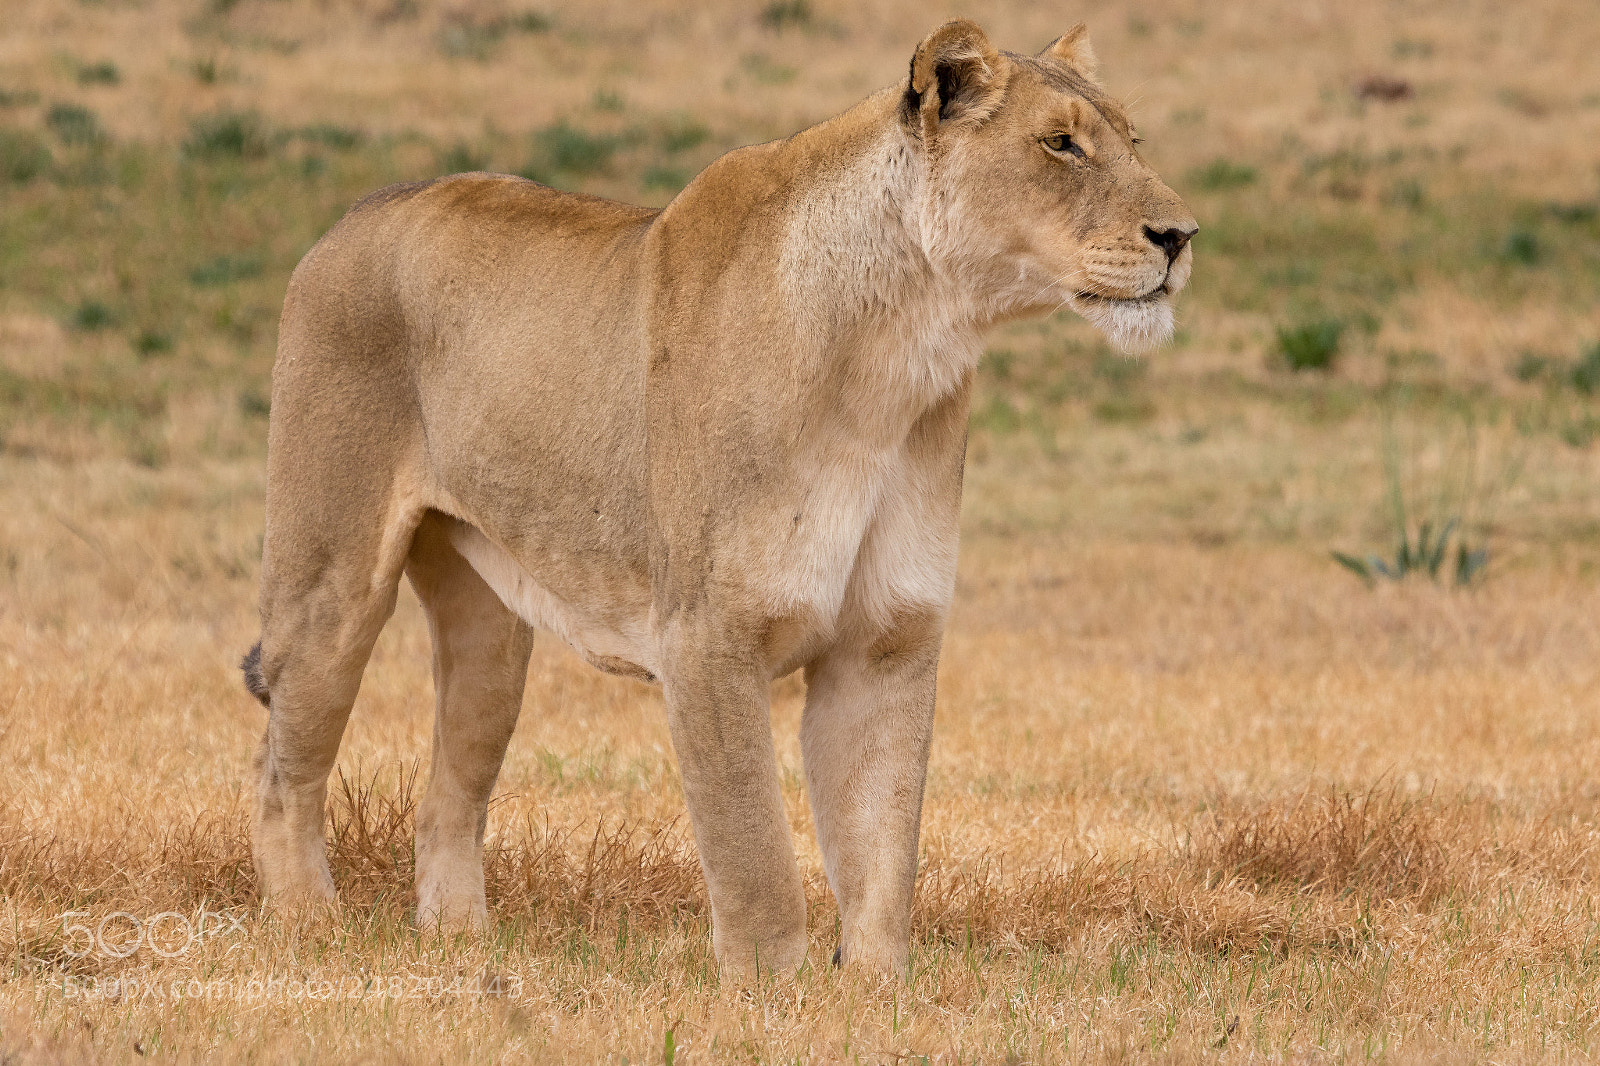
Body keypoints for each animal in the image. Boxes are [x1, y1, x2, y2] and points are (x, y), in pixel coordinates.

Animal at [241, 18, 1195, 978]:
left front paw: (881, 989)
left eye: (1133, 139)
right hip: (332, 582)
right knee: (281, 766)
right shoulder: (707, 634)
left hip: (492, 631)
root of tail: (352, 215)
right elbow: (755, 850)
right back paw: (312, 931)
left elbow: (883, 847)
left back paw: (464, 947)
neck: (900, 354)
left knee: (448, 796)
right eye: (1060, 143)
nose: (1182, 234)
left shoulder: (887, 637)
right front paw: (771, 994)